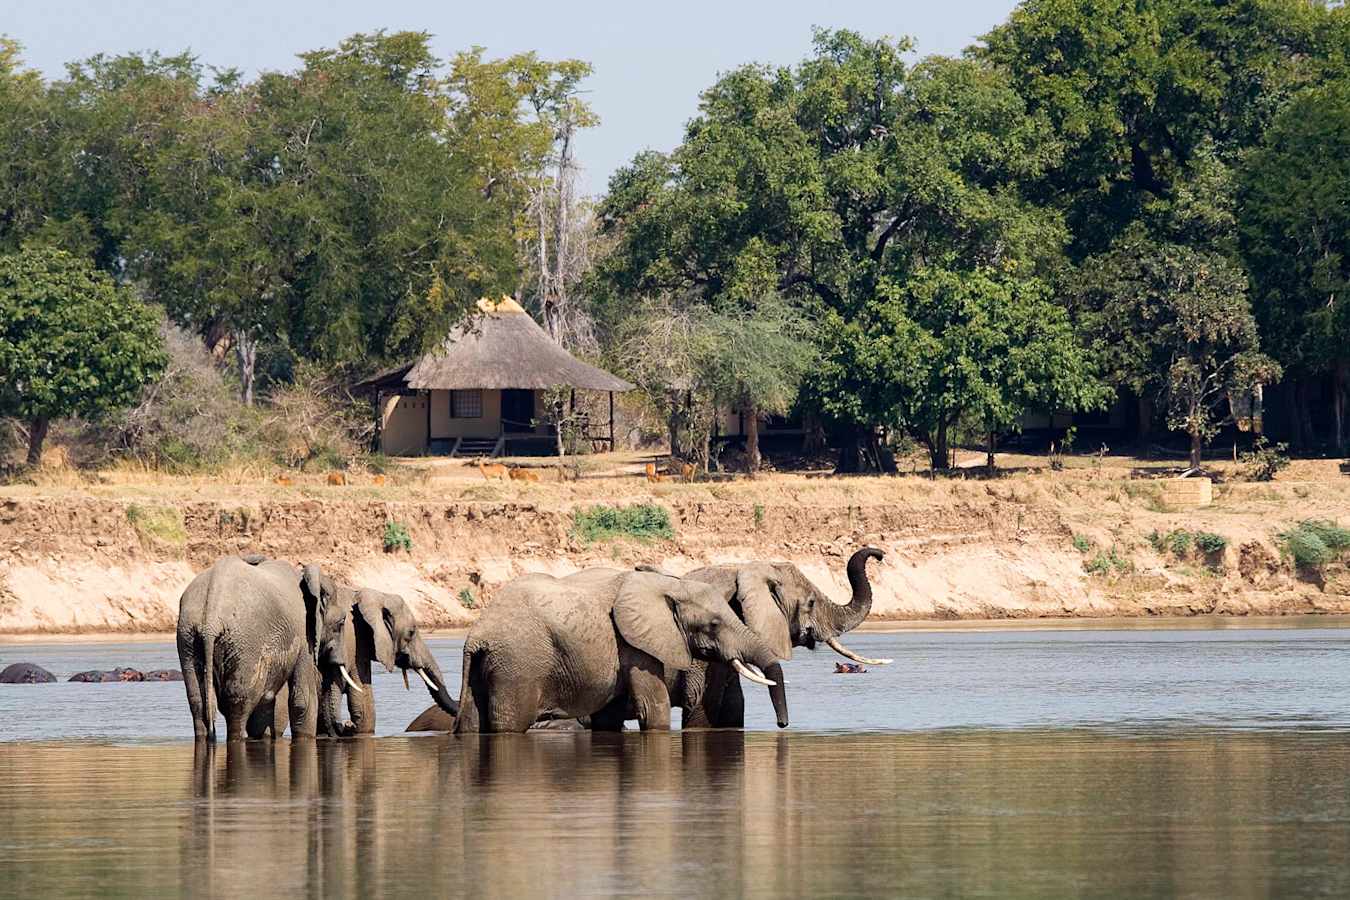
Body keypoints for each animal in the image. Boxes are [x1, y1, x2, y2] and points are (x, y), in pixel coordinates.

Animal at [176, 555, 351, 742]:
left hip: (188, 637)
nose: (345, 726)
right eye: (341, 622)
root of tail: (211, 620)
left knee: (198, 702)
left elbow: (267, 700)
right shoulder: (303, 634)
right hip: (246, 642)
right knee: (238, 704)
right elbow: (303, 699)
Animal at [453, 569, 783, 734]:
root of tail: (476, 637)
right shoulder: (635, 645)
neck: (667, 585)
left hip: (488, 666)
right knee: (510, 723)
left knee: (471, 722)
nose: (783, 725)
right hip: (518, 665)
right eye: (713, 624)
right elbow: (654, 707)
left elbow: (608, 717)